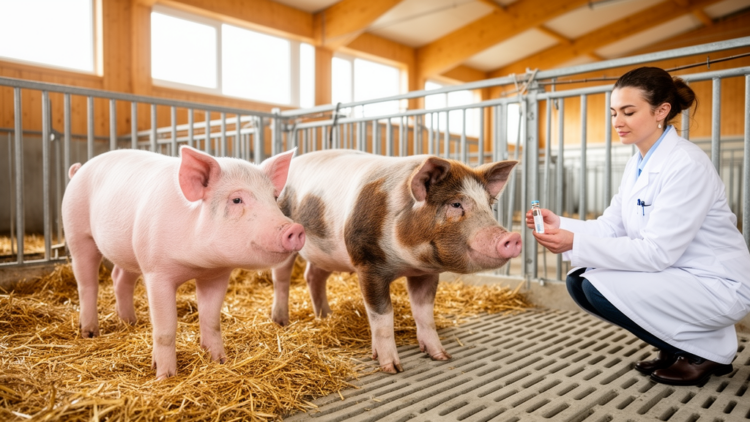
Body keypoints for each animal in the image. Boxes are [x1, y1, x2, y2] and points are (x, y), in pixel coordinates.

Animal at [61, 146, 305, 379]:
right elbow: (165, 329)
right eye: (236, 199)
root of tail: (79, 170)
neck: (198, 264)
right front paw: (165, 376)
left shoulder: (216, 275)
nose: (295, 228)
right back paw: (90, 333)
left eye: (274, 198)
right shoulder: (156, 272)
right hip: (77, 233)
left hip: (130, 251)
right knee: (87, 283)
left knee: (120, 278)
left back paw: (131, 322)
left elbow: (211, 320)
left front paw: (220, 361)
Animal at [271, 149, 521, 373]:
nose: (513, 237)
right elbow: (382, 317)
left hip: (327, 253)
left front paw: (441, 356)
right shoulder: (367, 264)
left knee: (313, 276)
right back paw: (281, 322)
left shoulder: (426, 273)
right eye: (456, 204)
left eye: (490, 206)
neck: (407, 262)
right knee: (282, 279)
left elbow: (424, 314)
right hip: (285, 242)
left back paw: (325, 316)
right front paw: (392, 368)